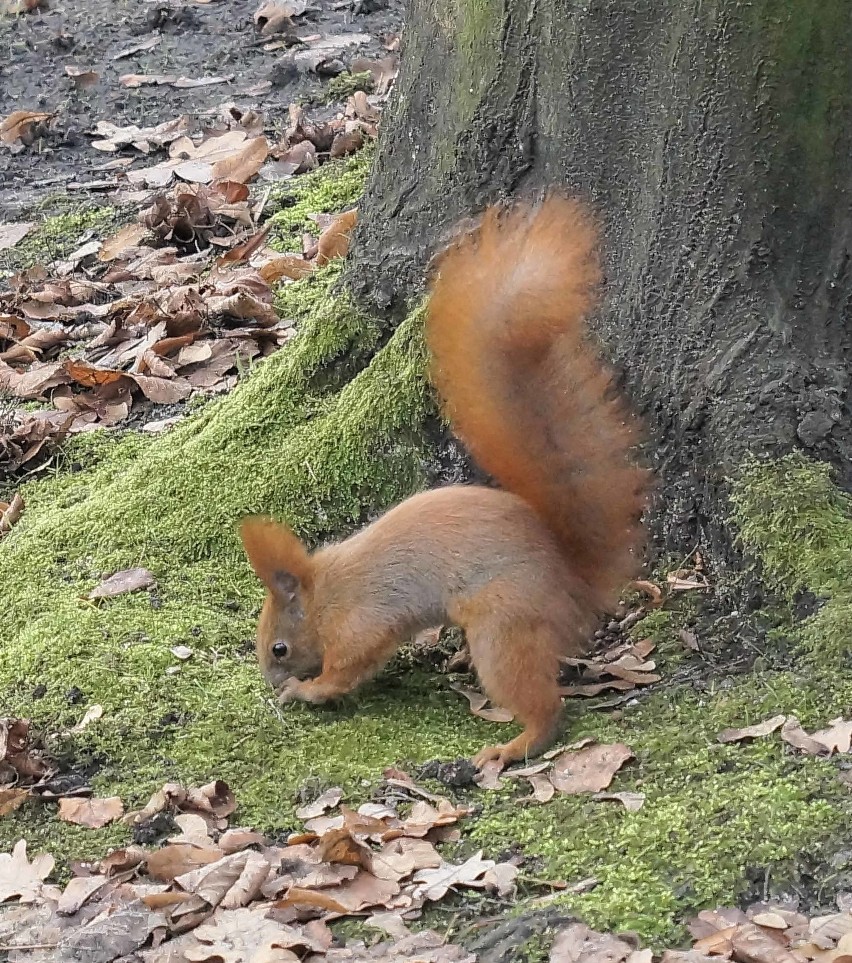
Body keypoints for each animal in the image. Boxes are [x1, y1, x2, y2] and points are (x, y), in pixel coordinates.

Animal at [236, 196, 648, 768]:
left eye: (279, 647)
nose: (270, 682)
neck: (323, 595)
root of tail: (576, 582)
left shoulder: (361, 624)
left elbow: (348, 669)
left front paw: (306, 690)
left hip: (503, 622)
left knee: (544, 704)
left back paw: (514, 745)